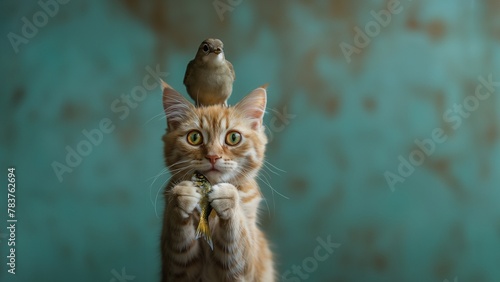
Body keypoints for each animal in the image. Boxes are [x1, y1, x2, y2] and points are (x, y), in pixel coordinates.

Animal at [160, 82, 276, 282]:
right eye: (194, 137)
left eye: (233, 138)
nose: (213, 156)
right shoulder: (177, 268)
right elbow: (178, 238)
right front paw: (182, 195)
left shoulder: (245, 267)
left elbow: (237, 238)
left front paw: (228, 197)